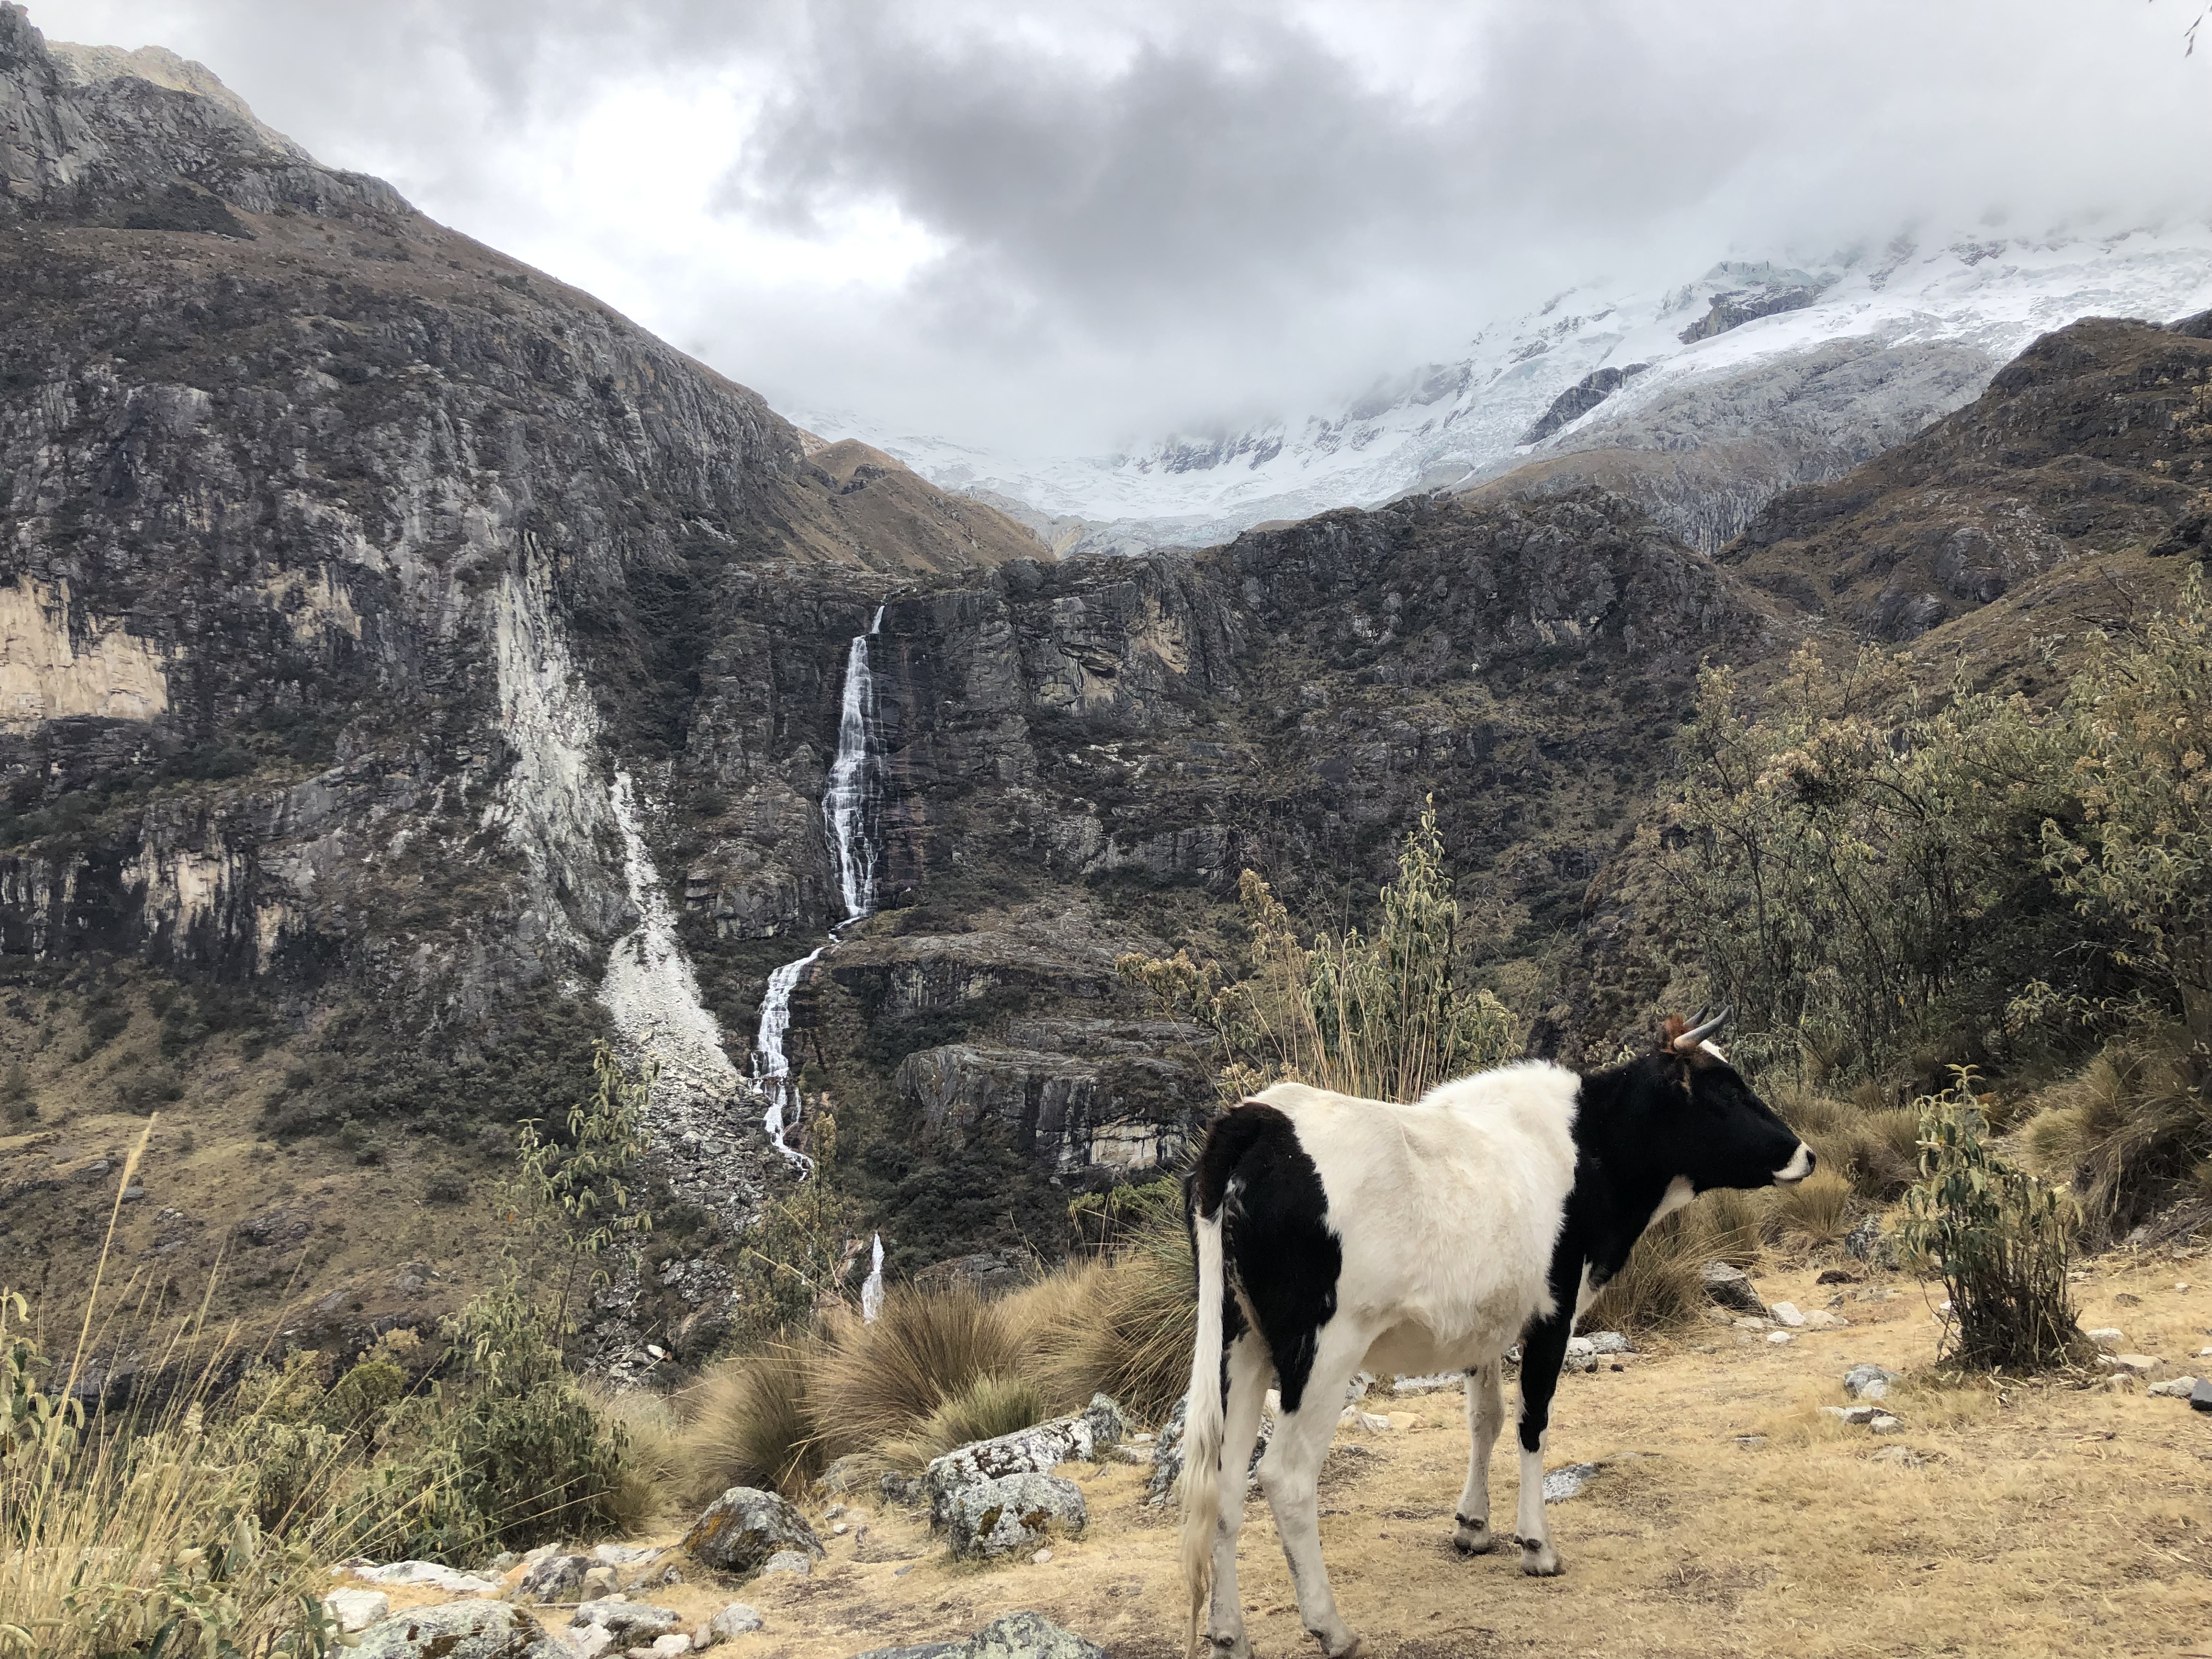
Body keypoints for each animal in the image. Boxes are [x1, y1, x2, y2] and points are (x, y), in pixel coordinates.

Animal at [1177, 1010, 1813, 1659]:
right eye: (1726, 1091)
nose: (1806, 1155)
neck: (1589, 1146)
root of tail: (1260, 1116)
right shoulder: (1554, 1314)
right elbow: (1534, 1423)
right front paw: (1536, 1546)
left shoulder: (1483, 1327)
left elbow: (1487, 1419)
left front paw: (1473, 1526)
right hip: (1325, 1350)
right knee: (1285, 1475)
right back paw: (1331, 1626)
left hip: (1240, 1343)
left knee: (1225, 1480)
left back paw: (1228, 1634)